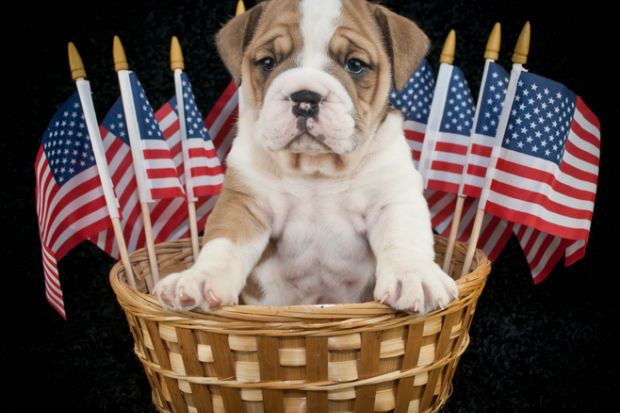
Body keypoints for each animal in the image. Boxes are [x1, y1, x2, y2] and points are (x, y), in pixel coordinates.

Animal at [153, 0, 458, 312]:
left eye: (355, 65)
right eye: (268, 62)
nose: (305, 97)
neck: (315, 169)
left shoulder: (393, 198)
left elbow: (405, 237)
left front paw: (415, 277)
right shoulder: (244, 204)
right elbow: (223, 243)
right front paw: (199, 279)